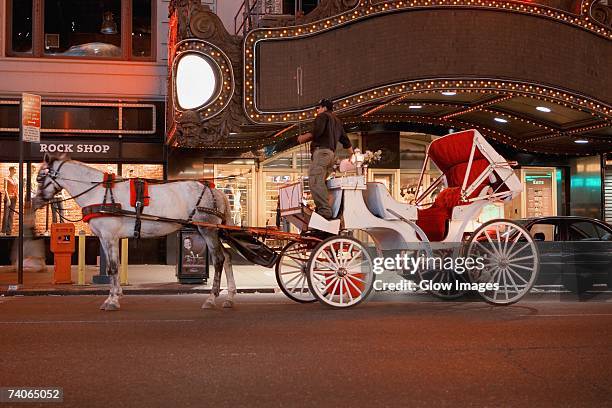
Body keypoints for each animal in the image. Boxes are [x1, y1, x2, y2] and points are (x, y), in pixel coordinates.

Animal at [31, 155, 238, 310]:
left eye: (40, 178)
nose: (34, 201)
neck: (98, 192)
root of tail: (217, 191)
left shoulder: (109, 236)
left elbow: (113, 267)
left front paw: (112, 300)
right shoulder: (106, 238)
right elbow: (112, 267)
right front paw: (116, 295)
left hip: (208, 229)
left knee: (219, 259)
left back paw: (211, 299)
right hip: (213, 231)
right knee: (227, 257)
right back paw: (230, 297)